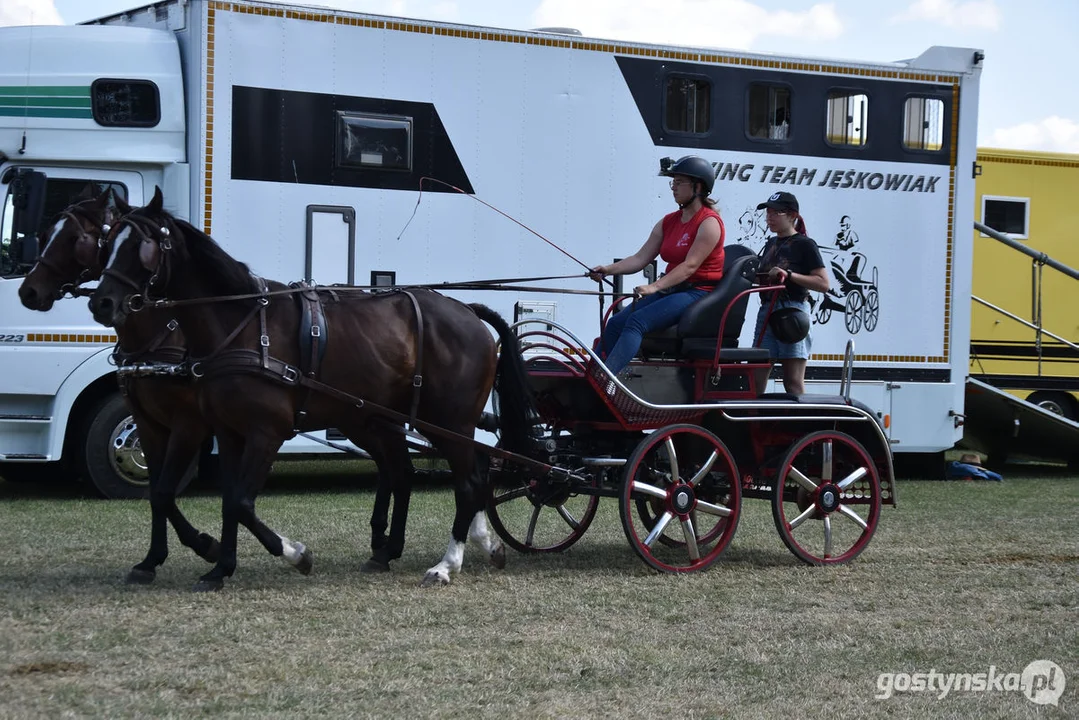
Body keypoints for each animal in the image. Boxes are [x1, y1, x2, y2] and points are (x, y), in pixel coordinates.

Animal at [16, 189, 220, 578]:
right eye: (45, 233)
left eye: (73, 238)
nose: (28, 292)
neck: (162, 333)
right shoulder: (146, 420)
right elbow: (158, 491)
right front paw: (153, 558)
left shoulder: (189, 422)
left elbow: (165, 490)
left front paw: (206, 545)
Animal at [87, 187, 535, 591]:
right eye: (107, 243)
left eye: (142, 247)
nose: (100, 303)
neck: (241, 325)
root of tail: (468, 311)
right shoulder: (228, 432)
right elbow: (228, 500)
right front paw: (220, 567)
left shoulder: (260, 431)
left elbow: (240, 503)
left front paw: (294, 553)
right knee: (441, 473)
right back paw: (465, 546)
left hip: (447, 421)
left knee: (468, 482)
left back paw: (448, 562)